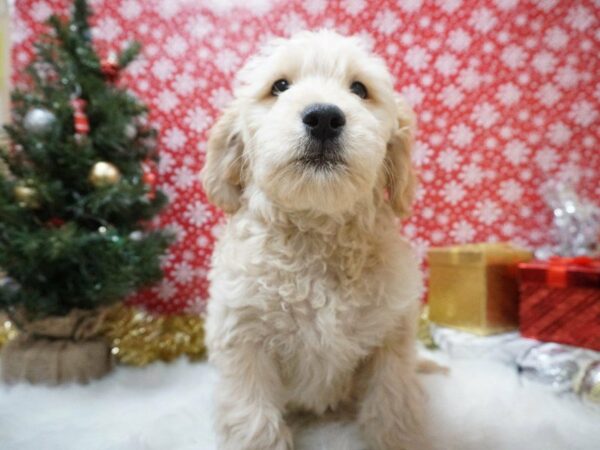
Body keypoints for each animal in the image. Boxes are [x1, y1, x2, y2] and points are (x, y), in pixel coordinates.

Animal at [203, 29, 426, 448]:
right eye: (279, 86)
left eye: (359, 88)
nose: (324, 117)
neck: (317, 232)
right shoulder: (242, 338)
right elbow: (254, 421)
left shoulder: (392, 339)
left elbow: (390, 409)